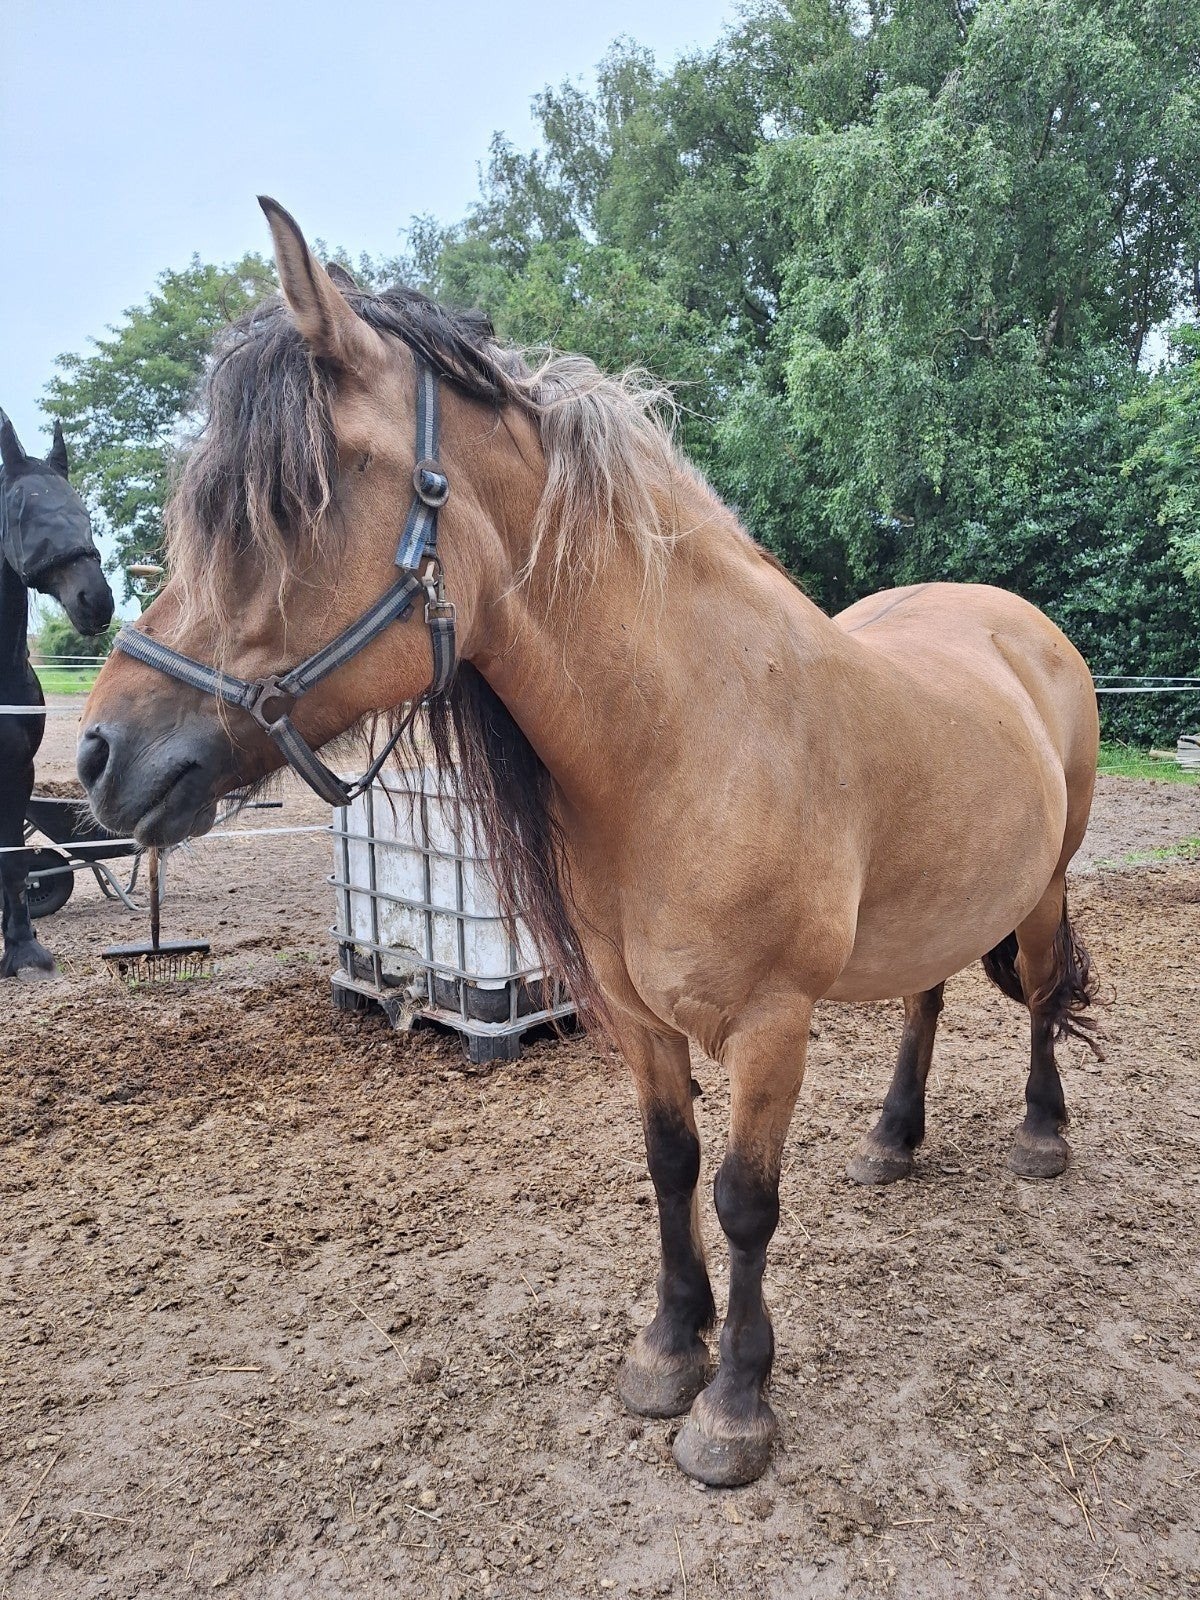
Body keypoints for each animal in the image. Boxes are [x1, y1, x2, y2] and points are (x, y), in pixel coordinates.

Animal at [77, 200, 1100, 1487]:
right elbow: (670, 1168)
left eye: (291, 502)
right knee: (927, 998)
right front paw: (669, 1350)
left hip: (1045, 885)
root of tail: (1019, 626)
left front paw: (734, 1406)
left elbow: (745, 1198)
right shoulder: (634, 1013)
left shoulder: (772, 1023)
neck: (690, 733)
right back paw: (891, 1139)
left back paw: (1040, 1136)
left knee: (1041, 995)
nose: (102, 753)